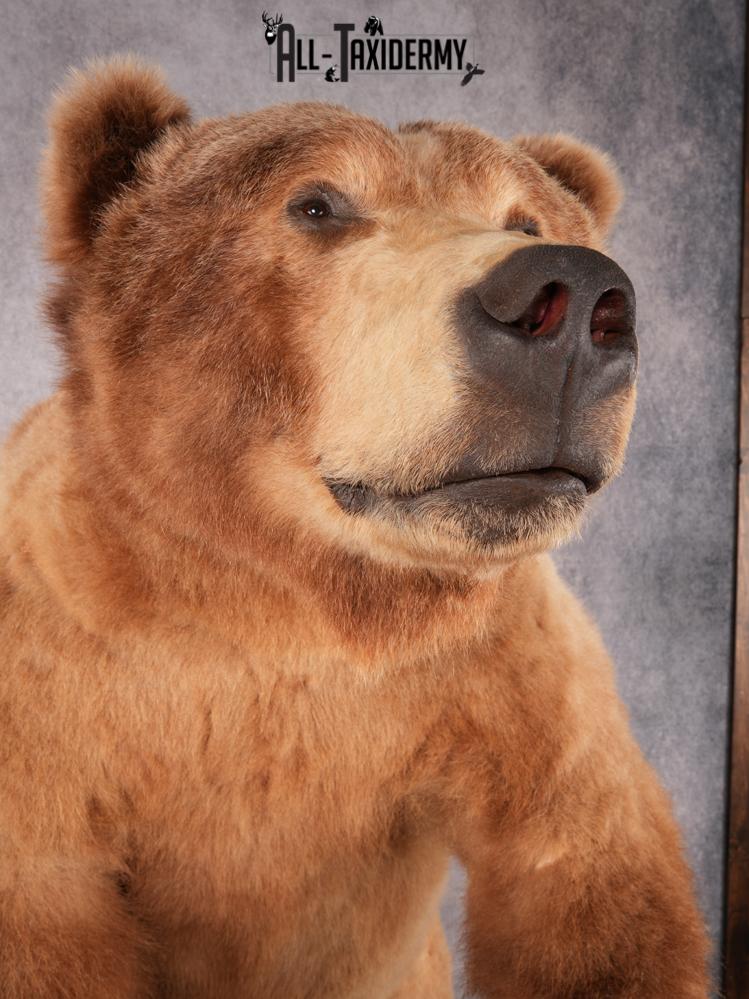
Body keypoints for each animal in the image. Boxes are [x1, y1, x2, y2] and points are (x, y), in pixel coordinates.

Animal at [0, 56, 710, 998]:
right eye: (316, 204)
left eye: (524, 216)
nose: (574, 293)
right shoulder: (57, 677)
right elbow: (45, 917)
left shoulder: (507, 668)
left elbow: (589, 880)